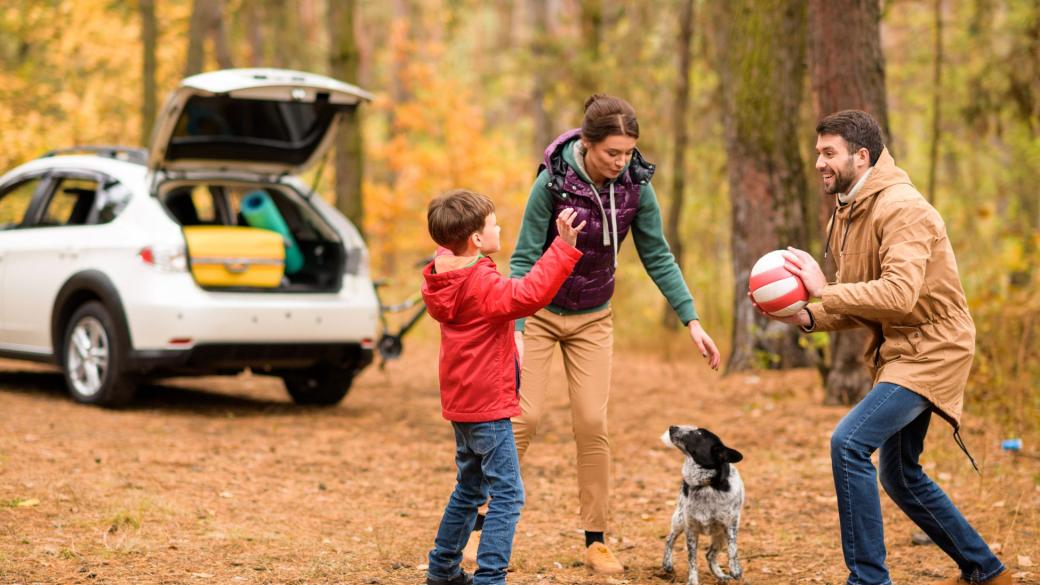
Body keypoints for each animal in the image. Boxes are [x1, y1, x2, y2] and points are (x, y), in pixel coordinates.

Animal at [661, 422, 744, 582]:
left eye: (699, 433)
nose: (672, 427)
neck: (706, 485)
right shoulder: (691, 529)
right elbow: (692, 562)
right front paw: (692, 581)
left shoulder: (730, 524)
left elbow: (733, 549)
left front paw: (735, 569)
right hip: (679, 520)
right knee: (669, 539)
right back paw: (667, 563)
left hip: (720, 535)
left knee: (710, 554)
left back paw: (720, 575)